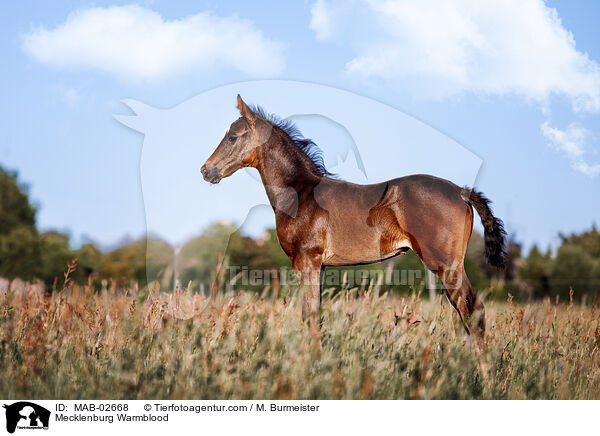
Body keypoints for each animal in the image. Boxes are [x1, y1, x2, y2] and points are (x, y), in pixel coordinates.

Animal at [202, 95, 506, 344]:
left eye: (232, 137)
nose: (206, 170)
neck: (301, 192)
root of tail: (462, 192)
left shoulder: (306, 260)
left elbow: (309, 317)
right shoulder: (319, 266)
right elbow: (315, 315)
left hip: (446, 264)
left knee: (473, 312)